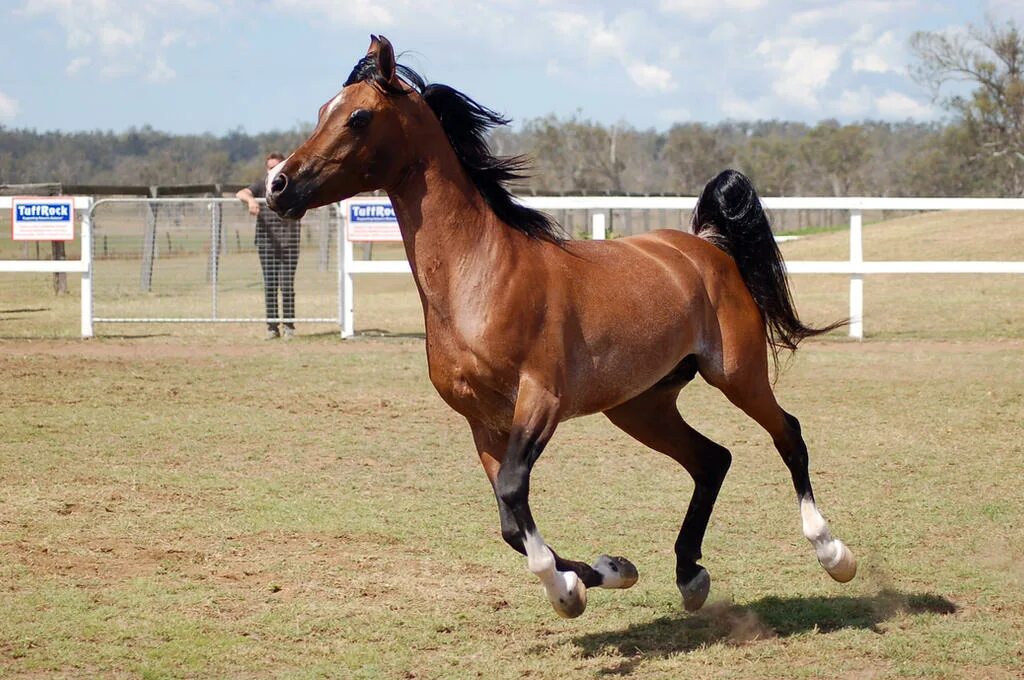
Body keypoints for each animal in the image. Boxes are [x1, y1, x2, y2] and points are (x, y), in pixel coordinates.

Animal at [266, 38, 856, 622]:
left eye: (358, 117)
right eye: (321, 111)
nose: (278, 185)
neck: (479, 274)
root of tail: (707, 246)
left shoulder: (541, 400)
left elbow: (512, 493)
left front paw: (567, 591)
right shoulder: (483, 422)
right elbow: (510, 519)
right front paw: (604, 573)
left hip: (737, 375)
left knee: (788, 435)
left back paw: (833, 553)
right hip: (640, 405)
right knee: (713, 460)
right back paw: (690, 574)